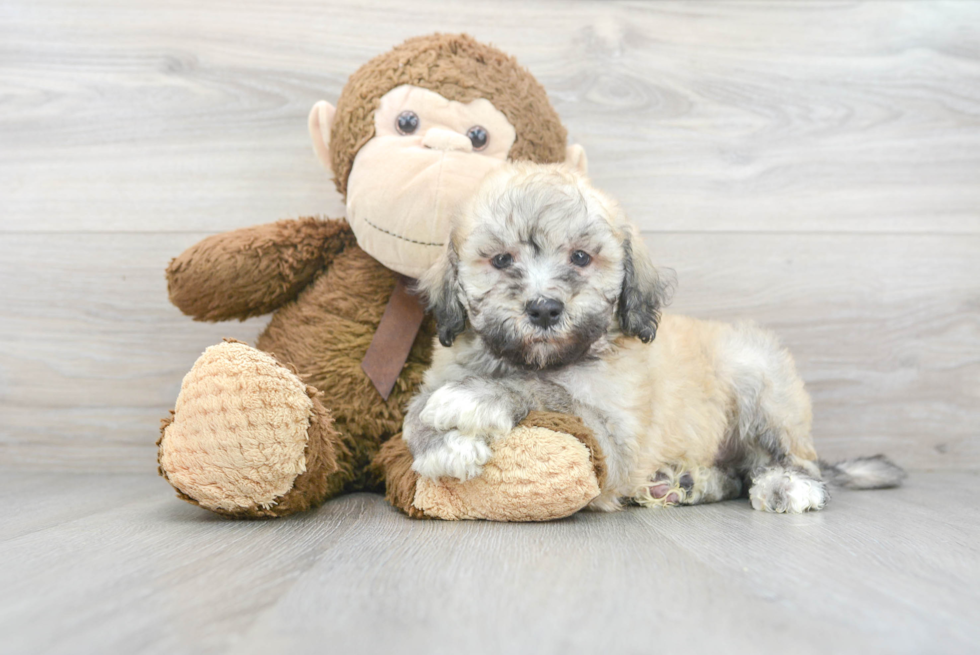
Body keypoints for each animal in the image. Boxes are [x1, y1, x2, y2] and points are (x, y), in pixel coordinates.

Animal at [402, 163, 908, 512]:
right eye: (502, 260)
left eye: (581, 257)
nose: (544, 309)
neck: (536, 358)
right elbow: (416, 411)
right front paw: (442, 443)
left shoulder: (614, 440)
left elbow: (550, 392)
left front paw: (474, 399)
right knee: (736, 475)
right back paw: (687, 483)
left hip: (759, 380)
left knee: (790, 457)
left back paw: (789, 483)